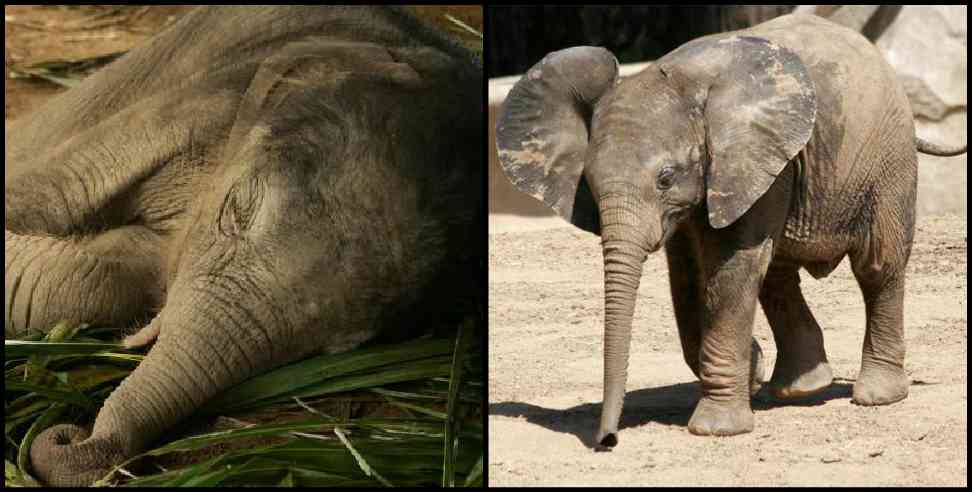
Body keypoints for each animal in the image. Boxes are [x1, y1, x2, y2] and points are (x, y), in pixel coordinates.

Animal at [498, 14, 968, 446]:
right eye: (590, 186)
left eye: (665, 178)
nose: (607, 440)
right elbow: (686, 277)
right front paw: (752, 369)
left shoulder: (749, 159)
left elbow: (729, 268)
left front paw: (717, 428)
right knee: (778, 272)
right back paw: (800, 388)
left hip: (889, 158)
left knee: (876, 265)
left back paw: (876, 396)